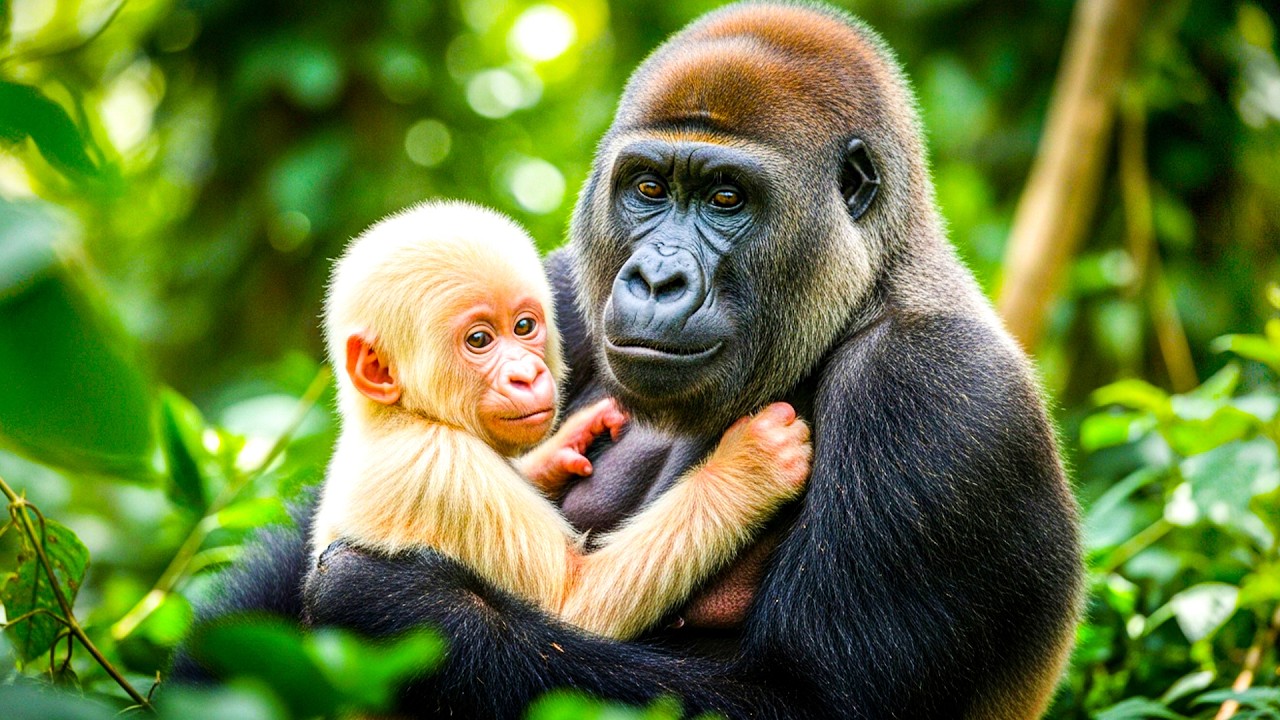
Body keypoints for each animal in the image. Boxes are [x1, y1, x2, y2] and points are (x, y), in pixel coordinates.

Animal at [308, 200, 812, 641]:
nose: (527, 375)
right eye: (479, 340)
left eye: (524, 327)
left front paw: (564, 448)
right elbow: (573, 603)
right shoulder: (441, 468)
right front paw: (750, 467)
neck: (402, 414)